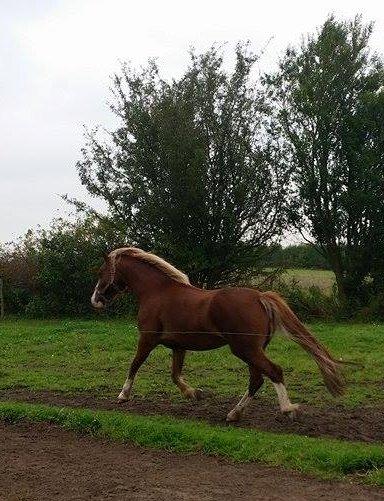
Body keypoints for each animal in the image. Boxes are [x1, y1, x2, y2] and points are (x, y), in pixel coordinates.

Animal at [91, 248, 344, 420]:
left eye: (102, 272)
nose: (95, 300)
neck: (157, 291)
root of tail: (260, 297)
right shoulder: (178, 345)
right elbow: (175, 374)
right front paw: (193, 393)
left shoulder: (147, 338)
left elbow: (135, 364)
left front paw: (123, 395)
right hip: (252, 350)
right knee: (257, 379)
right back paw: (234, 414)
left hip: (245, 349)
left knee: (273, 372)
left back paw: (288, 409)